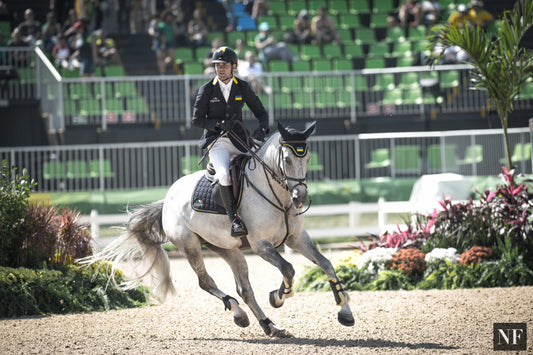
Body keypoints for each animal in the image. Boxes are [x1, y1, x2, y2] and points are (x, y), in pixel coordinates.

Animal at [87, 123, 354, 340]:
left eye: (306, 158)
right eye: (287, 159)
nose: (300, 198)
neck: (277, 196)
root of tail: (167, 199)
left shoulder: (297, 239)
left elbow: (326, 264)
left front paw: (345, 312)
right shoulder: (261, 245)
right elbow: (288, 269)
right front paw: (278, 296)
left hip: (228, 249)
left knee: (244, 289)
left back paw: (269, 326)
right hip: (191, 246)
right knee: (206, 282)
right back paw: (239, 314)